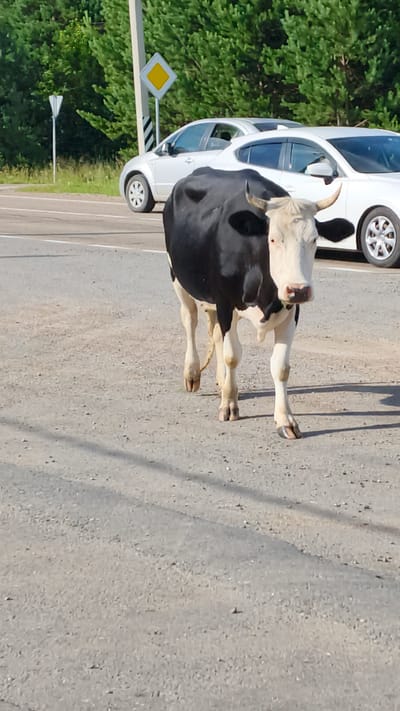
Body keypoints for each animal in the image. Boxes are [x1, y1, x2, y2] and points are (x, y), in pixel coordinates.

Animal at [163, 168, 354, 439]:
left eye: (314, 239)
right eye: (273, 239)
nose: (298, 289)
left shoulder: (291, 312)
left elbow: (281, 366)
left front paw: (285, 420)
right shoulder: (225, 302)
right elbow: (232, 355)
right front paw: (229, 405)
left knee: (216, 334)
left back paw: (222, 381)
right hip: (178, 278)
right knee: (190, 319)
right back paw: (192, 373)